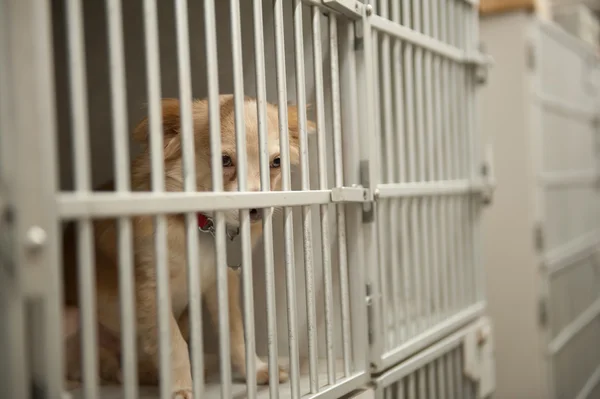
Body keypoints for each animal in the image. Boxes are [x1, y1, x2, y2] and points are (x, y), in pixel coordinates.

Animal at [62, 95, 316, 398]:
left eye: (276, 162)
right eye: (224, 160)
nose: (256, 210)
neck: (201, 227)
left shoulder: (221, 281)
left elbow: (235, 331)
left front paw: (255, 370)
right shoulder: (150, 290)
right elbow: (174, 343)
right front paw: (181, 389)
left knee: (121, 372)